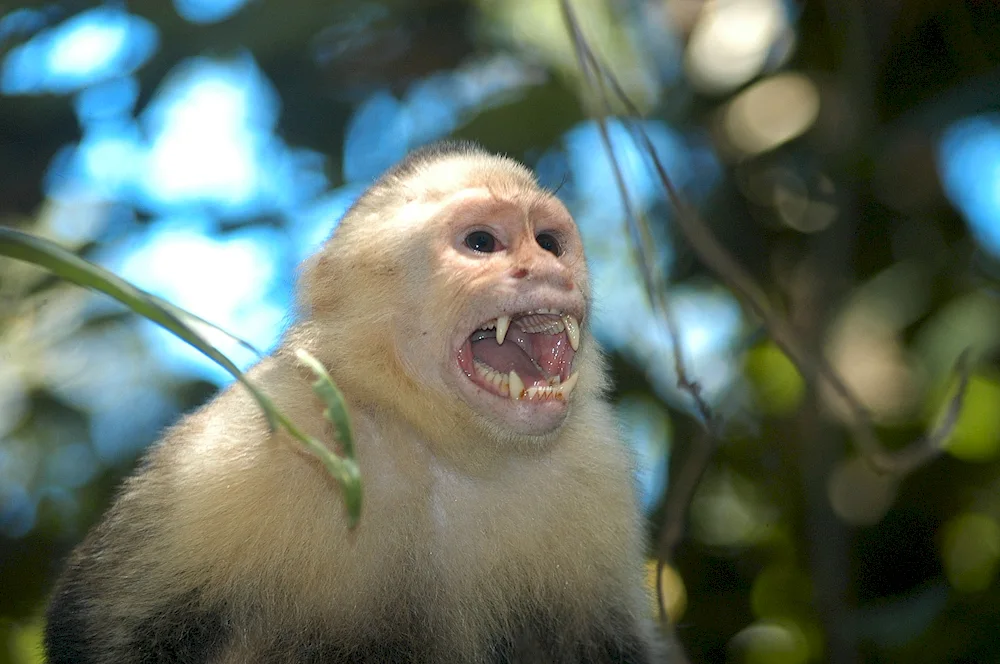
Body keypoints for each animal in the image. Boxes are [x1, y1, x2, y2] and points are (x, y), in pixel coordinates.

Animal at [45, 140, 664, 664]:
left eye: (550, 243)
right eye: (482, 243)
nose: (546, 268)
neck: (438, 441)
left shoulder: (596, 462)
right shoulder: (261, 433)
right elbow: (101, 624)